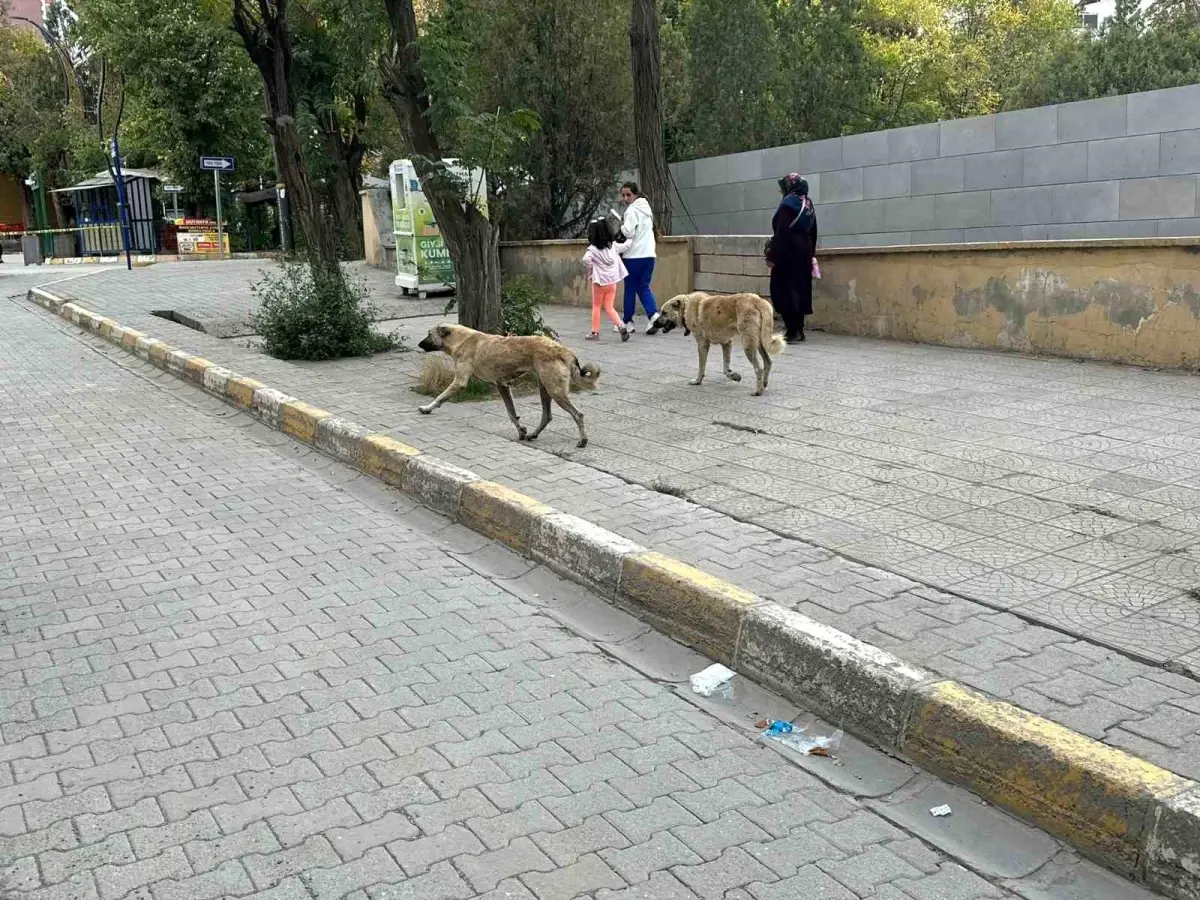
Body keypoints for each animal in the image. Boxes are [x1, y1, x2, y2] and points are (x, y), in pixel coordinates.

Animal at [417, 326, 600, 448]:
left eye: (429, 334)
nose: (419, 344)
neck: (461, 339)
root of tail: (563, 350)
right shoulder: (502, 386)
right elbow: (512, 414)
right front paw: (521, 431)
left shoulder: (460, 381)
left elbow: (440, 397)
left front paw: (427, 408)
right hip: (545, 388)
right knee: (547, 416)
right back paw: (533, 434)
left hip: (555, 391)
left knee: (578, 414)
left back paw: (582, 441)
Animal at [657, 294, 787, 396]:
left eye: (664, 313)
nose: (655, 323)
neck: (686, 306)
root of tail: (758, 301)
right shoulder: (726, 343)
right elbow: (725, 368)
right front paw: (733, 376)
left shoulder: (702, 345)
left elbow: (701, 367)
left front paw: (698, 381)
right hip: (759, 341)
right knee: (768, 362)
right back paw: (764, 384)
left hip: (748, 344)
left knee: (758, 368)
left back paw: (758, 391)